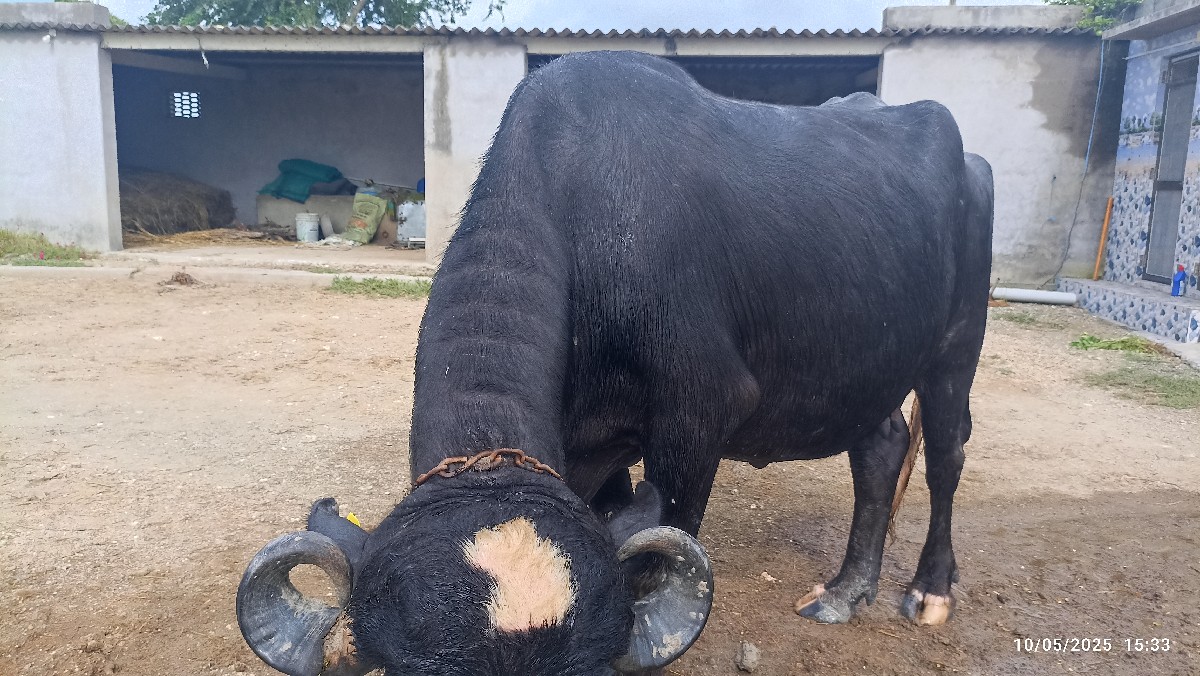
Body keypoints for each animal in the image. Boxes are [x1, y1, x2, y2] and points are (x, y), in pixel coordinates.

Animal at [236, 50, 993, 675]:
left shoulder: (697, 416)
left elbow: (660, 559)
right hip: (867, 366)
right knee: (882, 449)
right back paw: (845, 589)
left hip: (956, 347)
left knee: (945, 452)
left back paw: (929, 590)